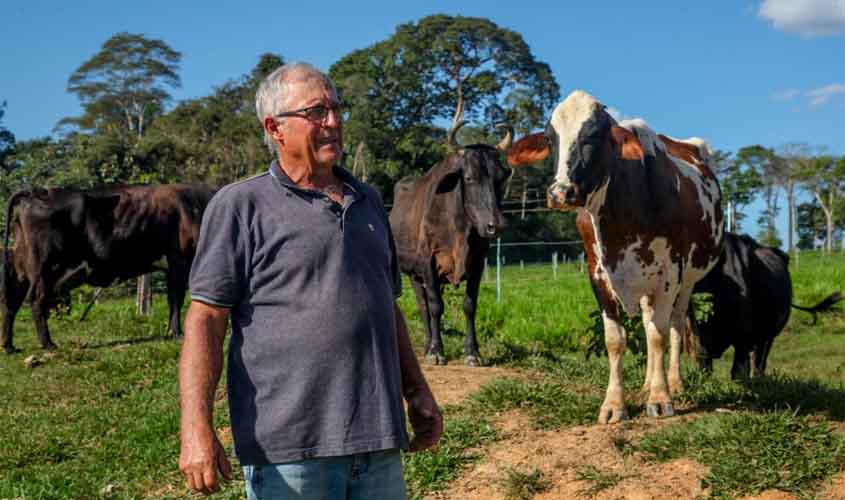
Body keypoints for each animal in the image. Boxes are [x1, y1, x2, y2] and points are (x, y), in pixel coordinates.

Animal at [2, 184, 215, 353]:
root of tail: (36, 191)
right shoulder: (180, 261)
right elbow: (176, 299)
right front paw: (176, 332)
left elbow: (174, 299)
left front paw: (173, 331)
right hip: (45, 265)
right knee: (36, 299)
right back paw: (48, 344)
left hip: (22, 268)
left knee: (12, 302)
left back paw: (9, 346)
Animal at [389, 122, 513, 366]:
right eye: (469, 177)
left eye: (501, 178)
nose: (496, 225)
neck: (460, 229)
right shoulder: (428, 261)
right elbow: (436, 306)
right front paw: (436, 351)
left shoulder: (478, 263)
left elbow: (469, 305)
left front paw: (472, 352)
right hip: (414, 272)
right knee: (424, 306)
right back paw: (428, 346)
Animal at [508, 90, 724, 423]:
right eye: (549, 138)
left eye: (595, 135)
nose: (560, 193)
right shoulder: (597, 274)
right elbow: (616, 340)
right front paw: (615, 403)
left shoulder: (668, 274)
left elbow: (659, 335)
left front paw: (661, 398)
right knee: (649, 323)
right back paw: (647, 383)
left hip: (687, 279)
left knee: (673, 325)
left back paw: (673, 382)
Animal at [691, 232, 842, 379]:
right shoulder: (701, 338)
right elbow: (705, 366)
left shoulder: (743, 338)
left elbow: (738, 371)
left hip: (768, 335)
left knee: (760, 360)